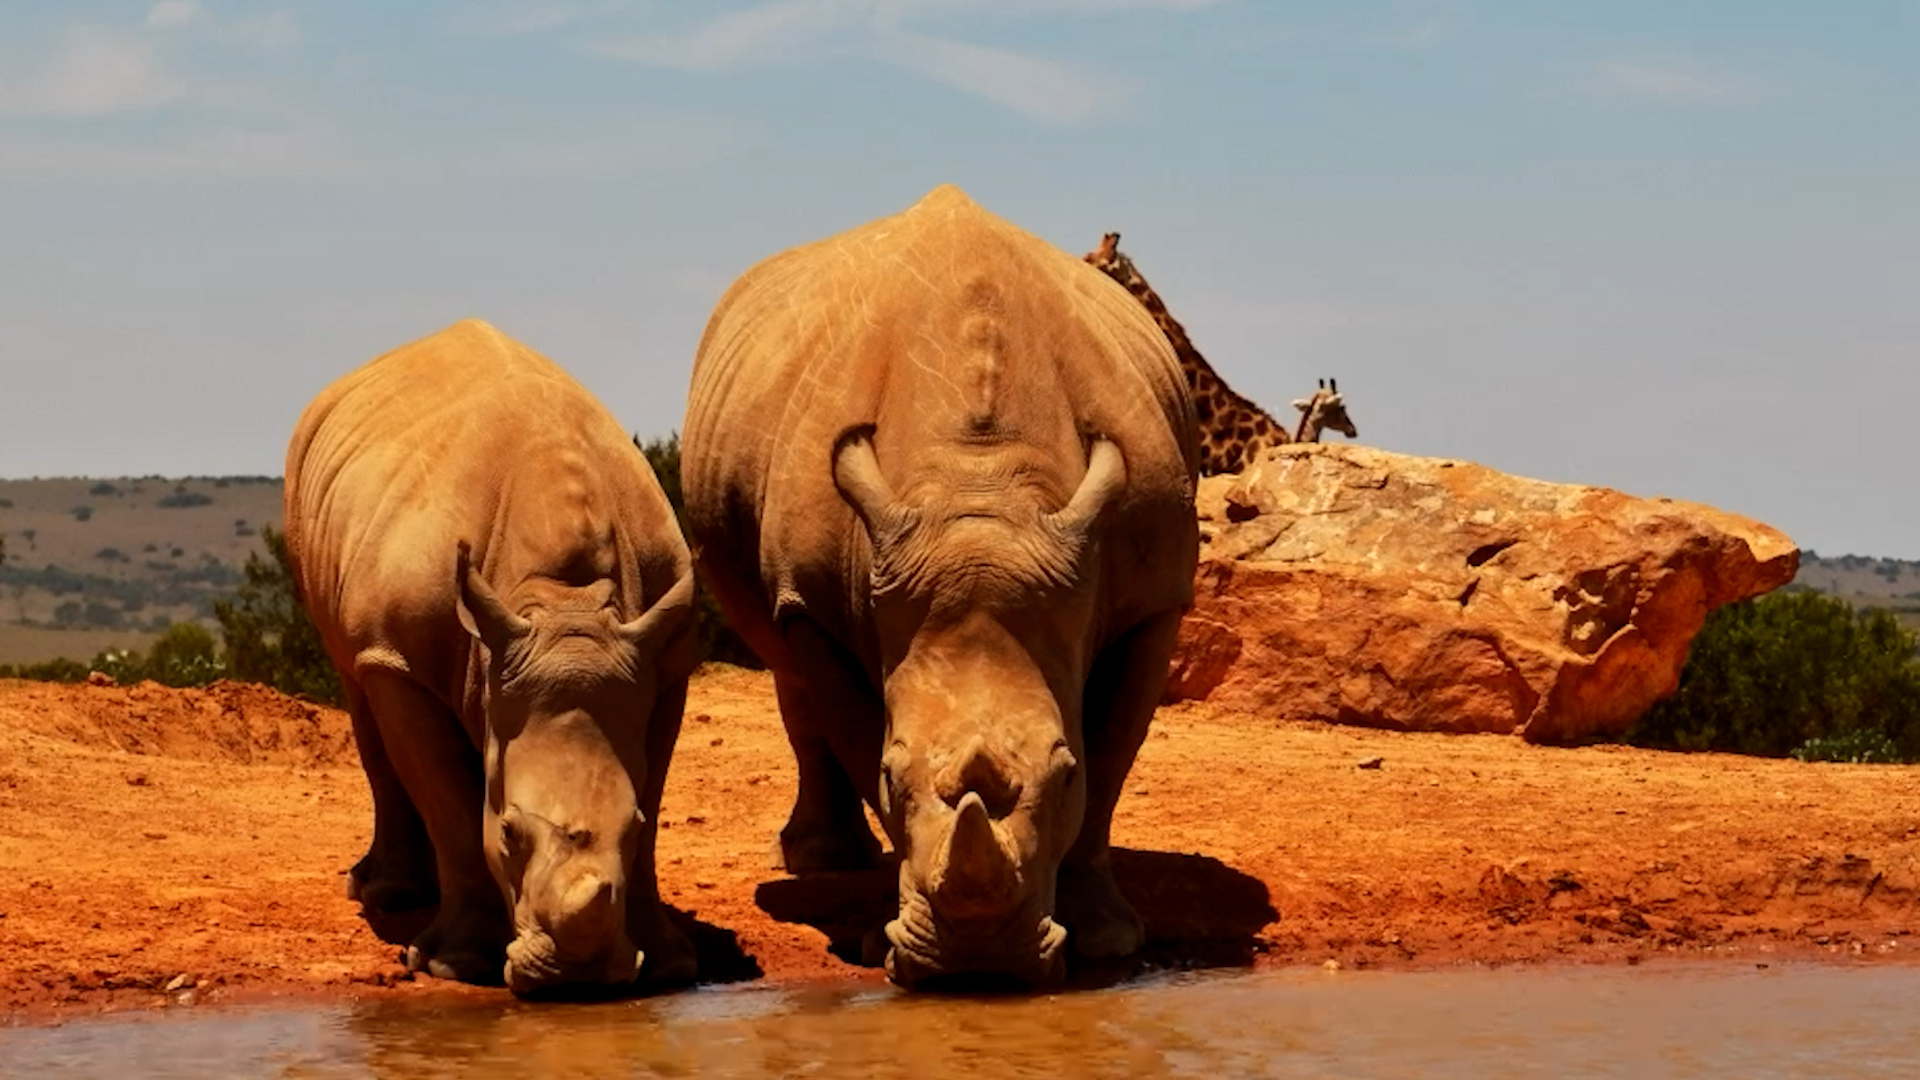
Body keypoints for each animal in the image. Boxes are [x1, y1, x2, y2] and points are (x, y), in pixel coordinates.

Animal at [284, 318, 698, 995]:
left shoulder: (662, 660)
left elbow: (654, 794)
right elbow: (452, 808)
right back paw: (387, 893)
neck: (563, 605)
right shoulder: (403, 655)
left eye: (631, 827)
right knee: (358, 682)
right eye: (507, 831)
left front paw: (670, 963)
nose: (579, 978)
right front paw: (455, 964)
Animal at [681, 185, 1199, 986]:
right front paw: (876, 940)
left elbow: (1112, 756)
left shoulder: (1155, 595)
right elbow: (857, 734)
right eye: (895, 775)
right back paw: (820, 863)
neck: (979, 481)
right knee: (784, 656)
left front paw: (1109, 938)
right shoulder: (816, 597)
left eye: (1063, 772)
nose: (977, 961)